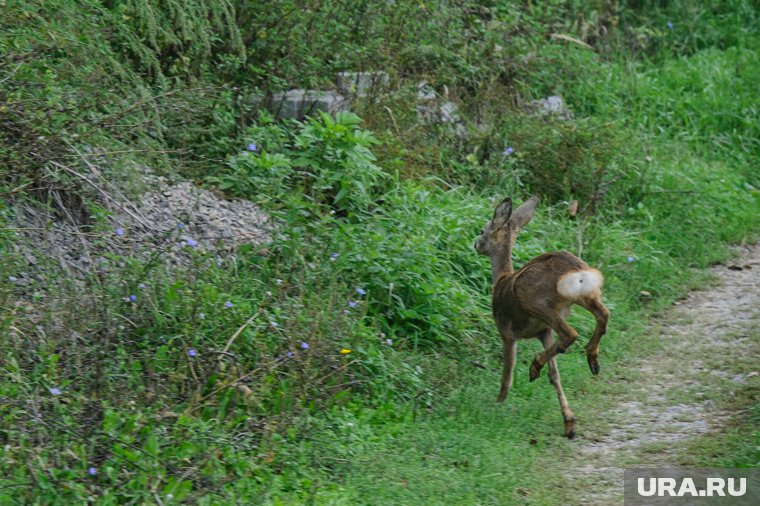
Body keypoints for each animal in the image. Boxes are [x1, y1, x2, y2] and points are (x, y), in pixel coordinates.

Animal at [476, 196, 612, 436]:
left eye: (482, 230)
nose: (476, 244)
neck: (501, 279)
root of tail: (576, 272)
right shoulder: (543, 332)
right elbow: (555, 375)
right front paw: (569, 422)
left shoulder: (507, 333)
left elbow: (507, 375)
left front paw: (497, 404)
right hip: (583, 295)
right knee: (603, 315)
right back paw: (591, 359)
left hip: (533, 299)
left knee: (570, 333)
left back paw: (535, 365)